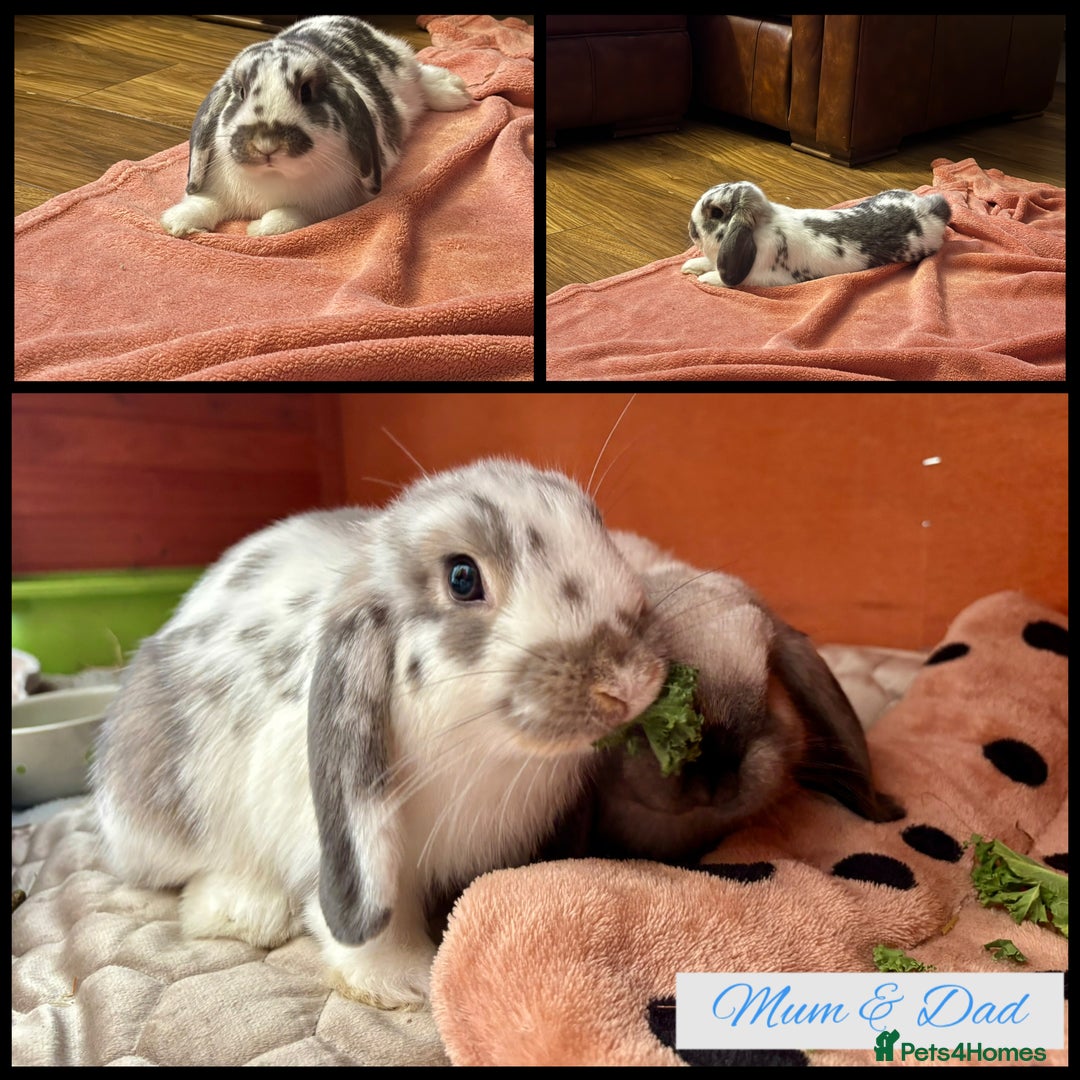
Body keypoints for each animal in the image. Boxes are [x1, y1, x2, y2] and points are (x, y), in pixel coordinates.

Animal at [91, 459, 668, 1009]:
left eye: (598, 529)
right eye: (462, 578)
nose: (629, 683)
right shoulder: (353, 845)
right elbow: (371, 919)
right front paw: (403, 983)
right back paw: (244, 911)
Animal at [160, 16, 472, 237]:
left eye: (306, 92)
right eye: (240, 91)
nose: (266, 144)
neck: (272, 178)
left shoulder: (324, 206)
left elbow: (286, 216)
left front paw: (257, 229)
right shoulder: (215, 191)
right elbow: (204, 203)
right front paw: (176, 223)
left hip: (406, 68)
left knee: (423, 75)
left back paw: (455, 92)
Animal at [680, 181, 951, 288]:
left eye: (717, 213)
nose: (690, 228)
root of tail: (930, 210)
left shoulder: (759, 277)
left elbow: (725, 278)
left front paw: (705, 280)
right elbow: (707, 261)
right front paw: (689, 266)